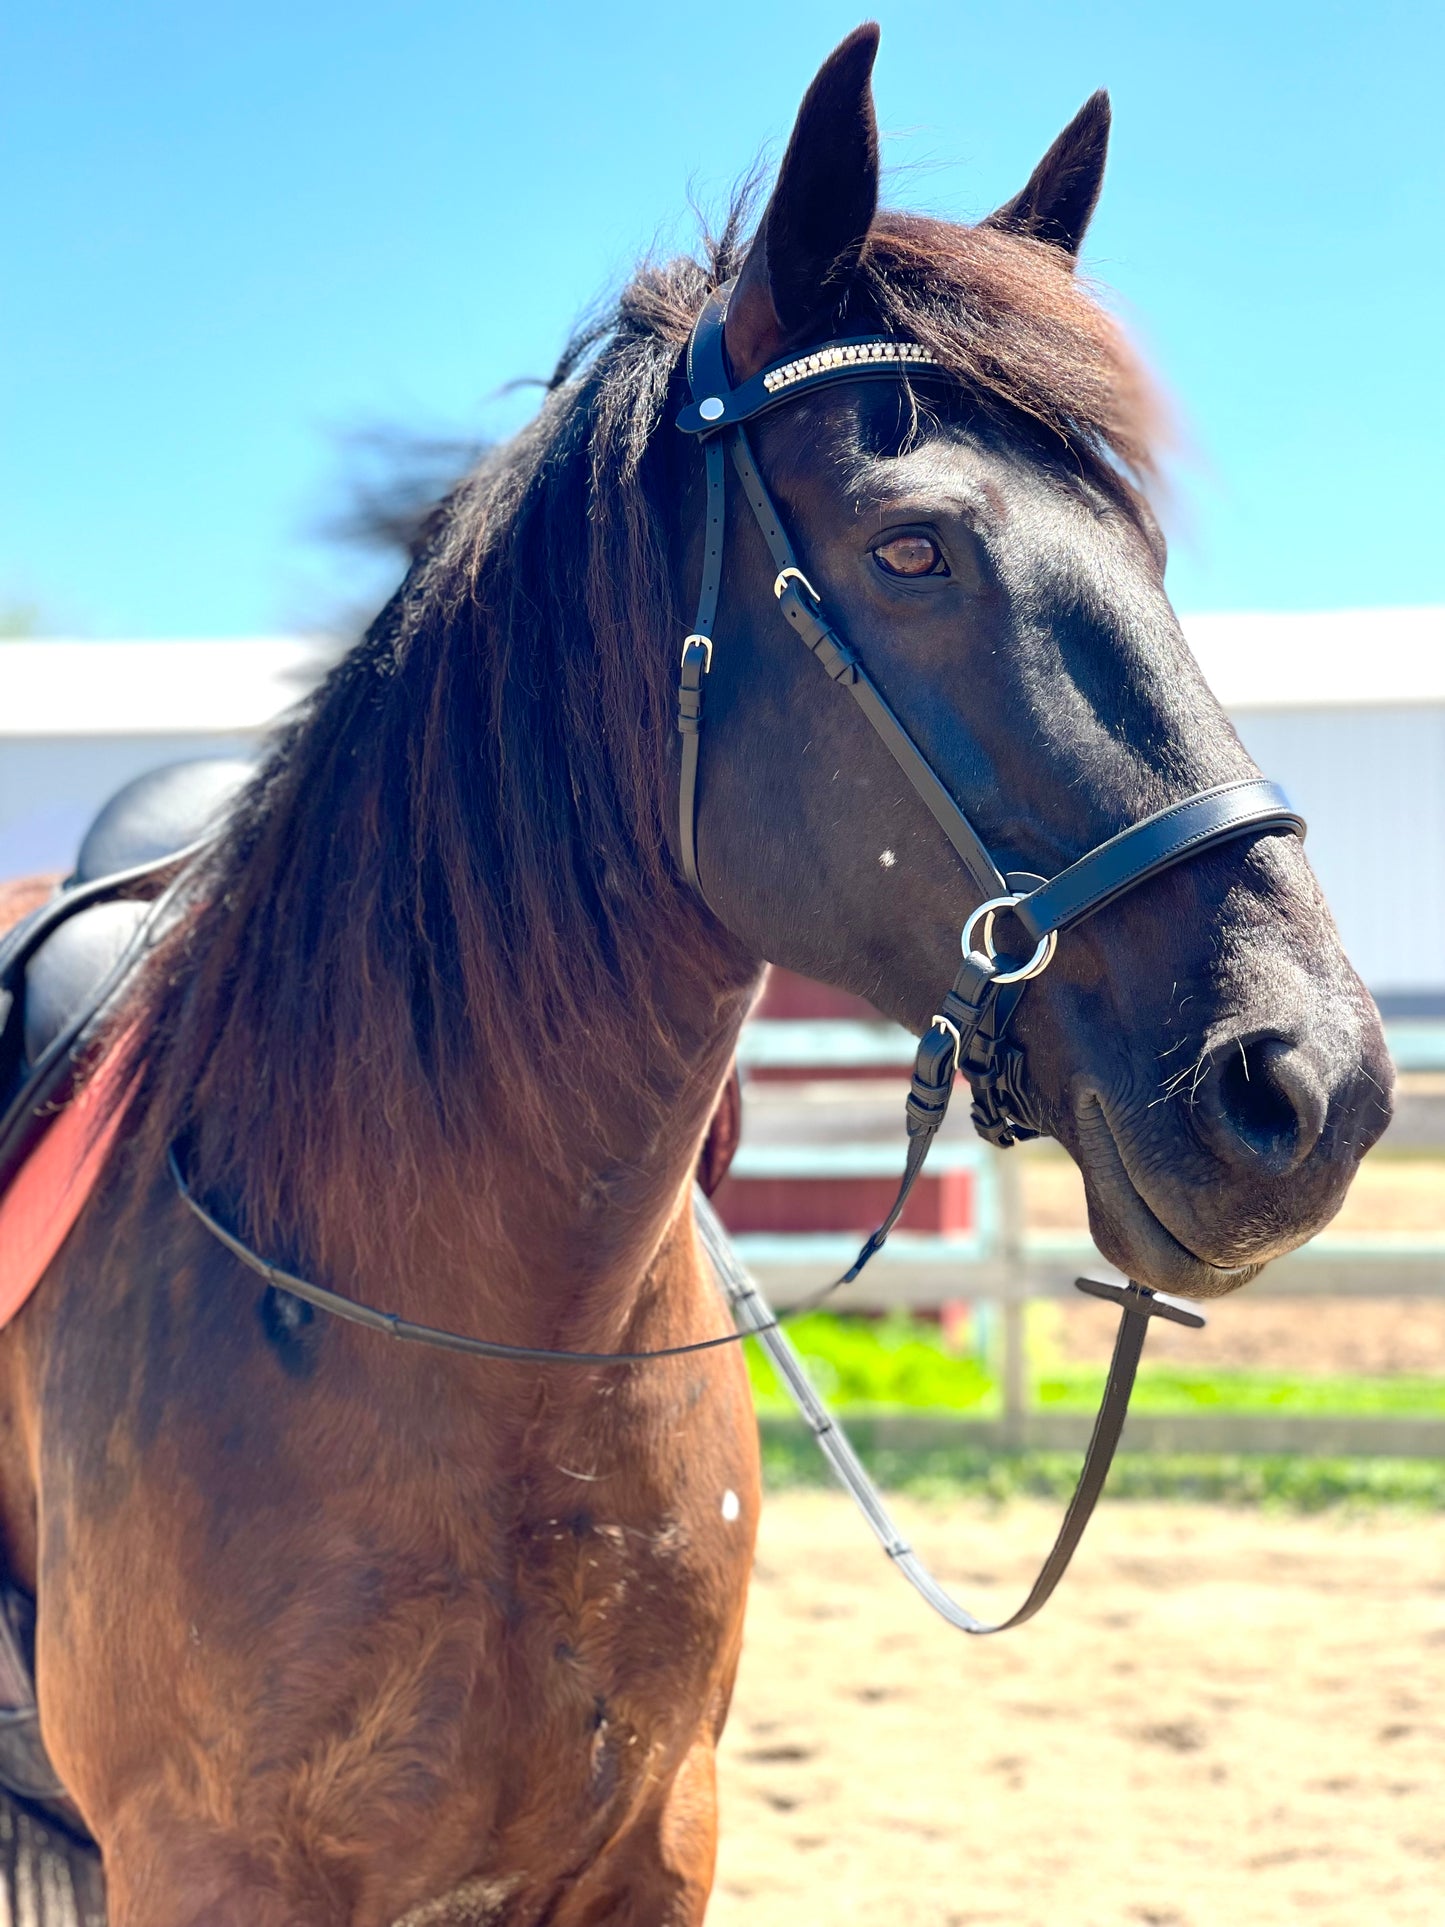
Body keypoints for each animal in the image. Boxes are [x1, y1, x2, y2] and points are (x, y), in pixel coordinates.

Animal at [0, 22, 1394, 1919]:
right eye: (910, 546)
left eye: (1150, 557)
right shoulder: (209, 1869)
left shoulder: (654, 1845)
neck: (478, 1355)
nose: (1313, 1085)